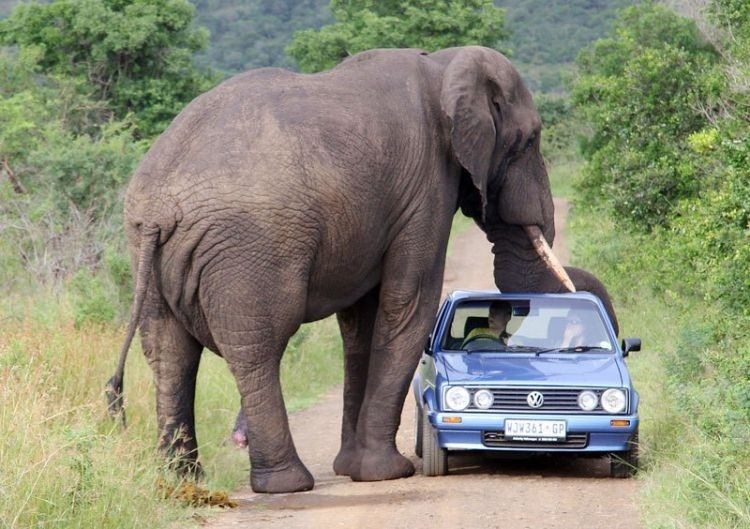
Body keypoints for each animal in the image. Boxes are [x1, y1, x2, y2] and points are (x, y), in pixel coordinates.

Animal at [108, 43, 600, 492]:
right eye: (530, 139)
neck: (444, 63)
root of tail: (159, 206)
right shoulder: (425, 188)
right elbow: (409, 303)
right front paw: (386, 474)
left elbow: (361, 323)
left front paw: (353, 469)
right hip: (249, 249)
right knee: (258, 347)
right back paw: (286, 484)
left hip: (147, 252)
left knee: (169, 352)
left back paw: (182, 483)